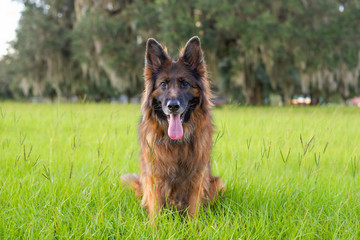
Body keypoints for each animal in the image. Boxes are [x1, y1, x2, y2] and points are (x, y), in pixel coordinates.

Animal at [124, 36, 225, 219]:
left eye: (185, 84)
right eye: (163, 84)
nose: (173, 106)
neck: (177, 143)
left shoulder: (197, 175)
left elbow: (193, 209)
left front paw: (193, 226)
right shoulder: (154, 175)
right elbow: (155, 210)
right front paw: (155, 226)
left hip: (217, 182)